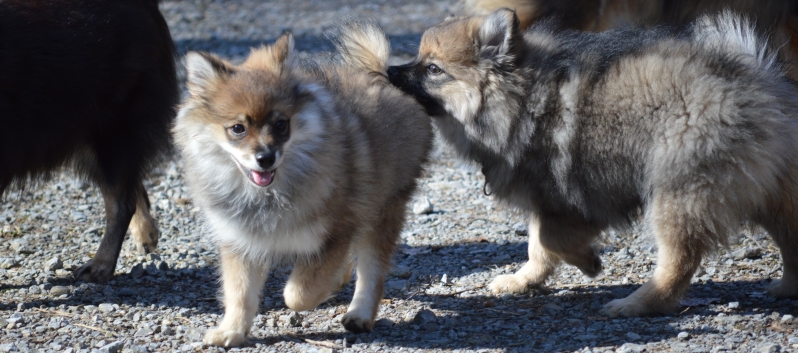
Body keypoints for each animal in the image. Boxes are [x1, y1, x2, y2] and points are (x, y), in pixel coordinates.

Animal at [175, 20, 434, 346]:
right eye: (237, 129)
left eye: (280, 124)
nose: (265, 157)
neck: (270, 196)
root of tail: (379, 75)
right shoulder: (241, 241)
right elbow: (240, 293)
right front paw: (231, 330)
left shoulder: (335, 233)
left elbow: (296, 293)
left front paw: (318, 290)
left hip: (384, 209)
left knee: (371, 270)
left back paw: (359, 313)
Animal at [390, 8, 798, 316]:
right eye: (418, 60)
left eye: (432, 69)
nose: (391, 71)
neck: (522, 98)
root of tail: (755, 85)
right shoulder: (548, 201)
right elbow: (537, 246)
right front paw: (524, 280)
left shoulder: (570, 197)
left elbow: (548, 240)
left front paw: (588, 262)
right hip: (767, 190)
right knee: (790, 235)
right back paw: (788, 286)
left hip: (677, 191)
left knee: (679, 260)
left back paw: (636, 304)